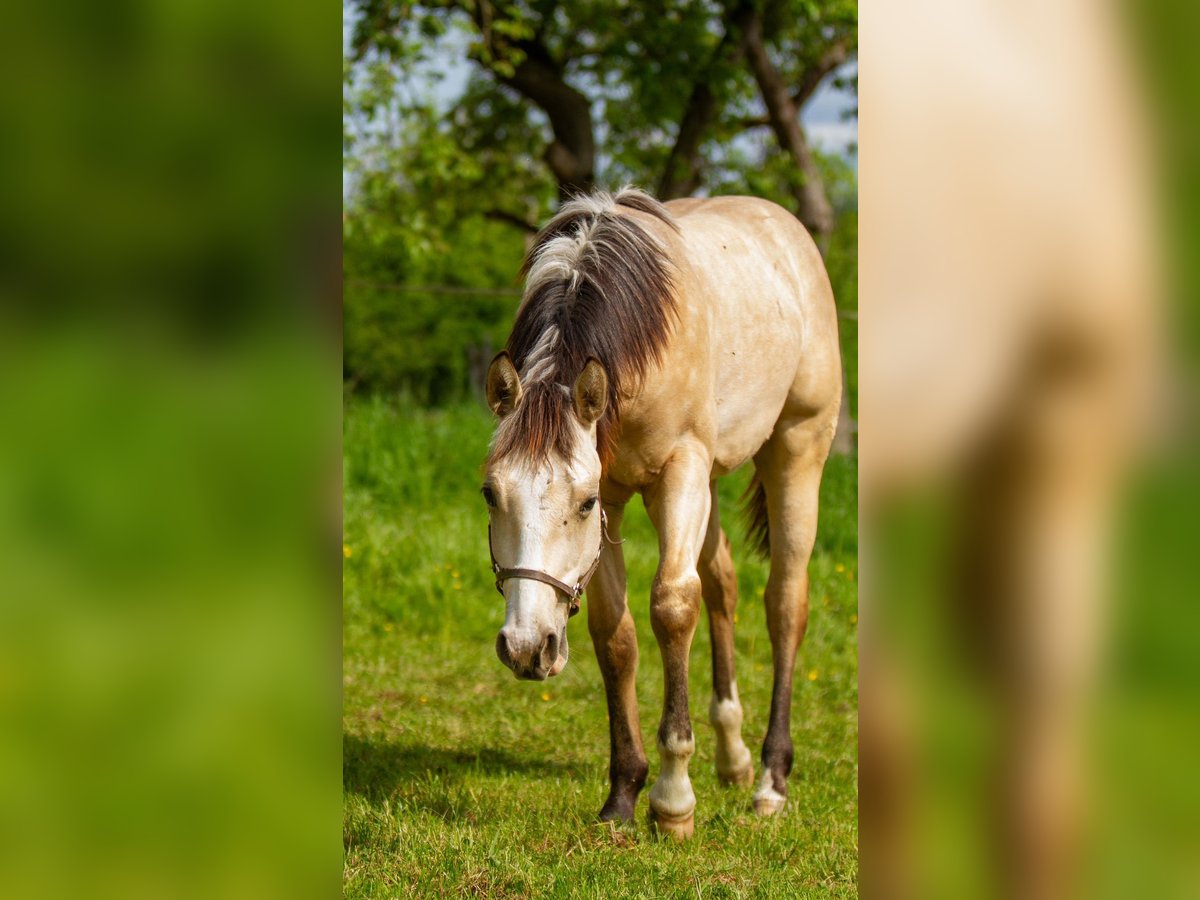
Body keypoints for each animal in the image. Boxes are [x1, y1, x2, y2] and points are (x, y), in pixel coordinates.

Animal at [480, 187, 844, 844]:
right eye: (491, 494)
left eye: (581, 502)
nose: (526, 647)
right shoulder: (621, 493)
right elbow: (616, 634)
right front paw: (624, 793)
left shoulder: (675, 473)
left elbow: (673, 607)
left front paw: (674, 801)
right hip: (713, 481)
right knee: (723, 585)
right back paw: (733, 757)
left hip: (797, 449)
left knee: (784, 602)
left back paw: (770, 781)